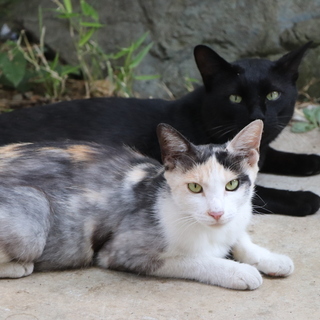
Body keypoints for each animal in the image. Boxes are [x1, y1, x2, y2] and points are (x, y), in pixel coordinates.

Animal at [0, 41, 318, 216]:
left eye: (273, 95)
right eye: (235, 98)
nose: (258, 116)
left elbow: (274, 154)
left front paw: (311, 161)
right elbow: (258, 190)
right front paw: (304, 199)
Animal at [0, 120, 294, 290]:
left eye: (231, 185)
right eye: (195, 187)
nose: (216, 212)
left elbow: (240, 237)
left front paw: (270, 258)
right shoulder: (122, 251)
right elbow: (193, 260)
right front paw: (237, 271)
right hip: (35, 213)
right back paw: (20, 266)